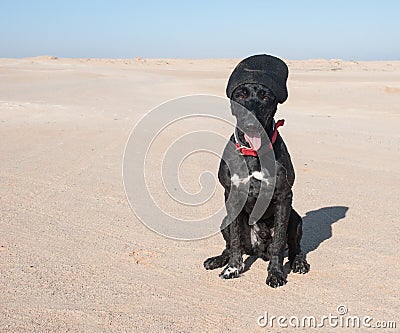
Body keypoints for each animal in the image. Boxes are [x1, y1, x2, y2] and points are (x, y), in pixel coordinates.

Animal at [203, 53, 310, 286]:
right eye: (240, 95)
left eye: (265, 96)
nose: (251, 122)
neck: (254, 152)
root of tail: (258, 250)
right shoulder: (231, 195)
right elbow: (235, 240)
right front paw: (232, 268)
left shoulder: (284, 197)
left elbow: (279, 241)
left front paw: (276, 273)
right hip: (224, 221)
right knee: (230, 245)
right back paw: (217, 260)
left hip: (295, 218)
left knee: (294, 247)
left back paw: (298, 262)